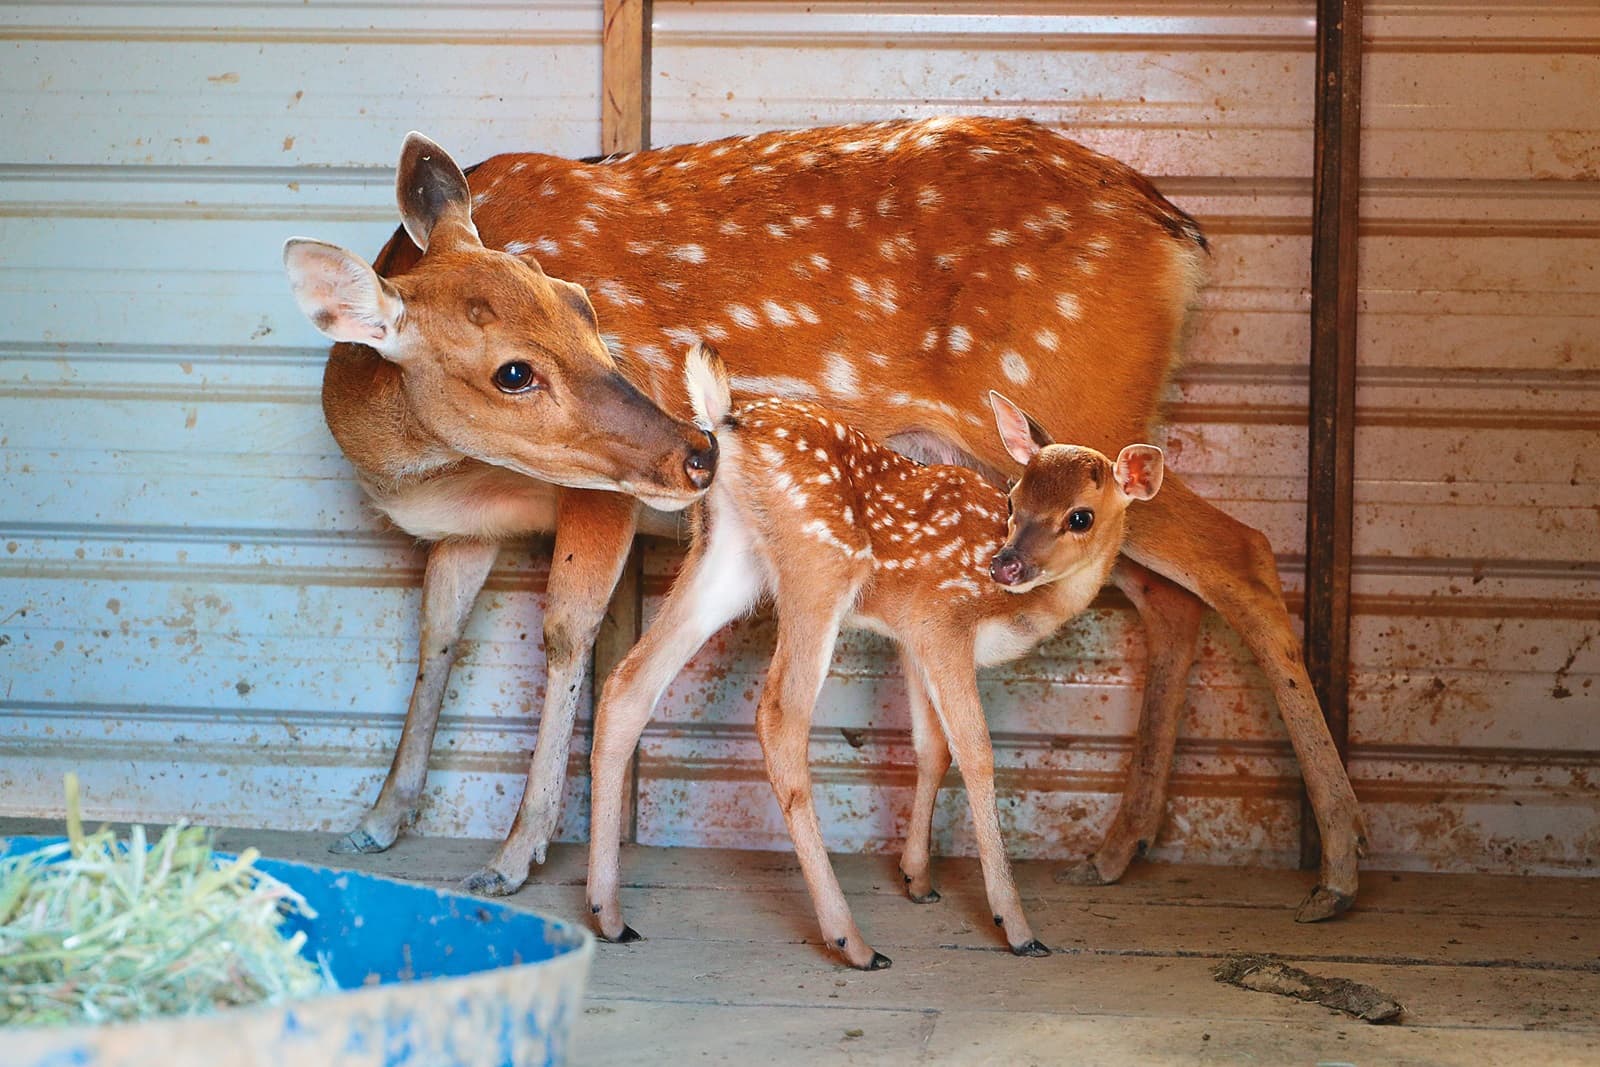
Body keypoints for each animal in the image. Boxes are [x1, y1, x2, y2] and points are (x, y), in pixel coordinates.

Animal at [586, 344, 1166, 968]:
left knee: (628, 683)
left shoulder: (912, 636)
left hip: (726, 560)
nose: (1004, 565)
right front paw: (1016, 926)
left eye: (1080, 516)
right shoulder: (944, 621)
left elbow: (932, 747)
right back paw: (854, 941)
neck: (1028, 606)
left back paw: (609, 917)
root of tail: (727, 418)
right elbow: (977, 753)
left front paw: (918, 879)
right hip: (820, 565)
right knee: (780, 718)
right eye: (1013, 500)